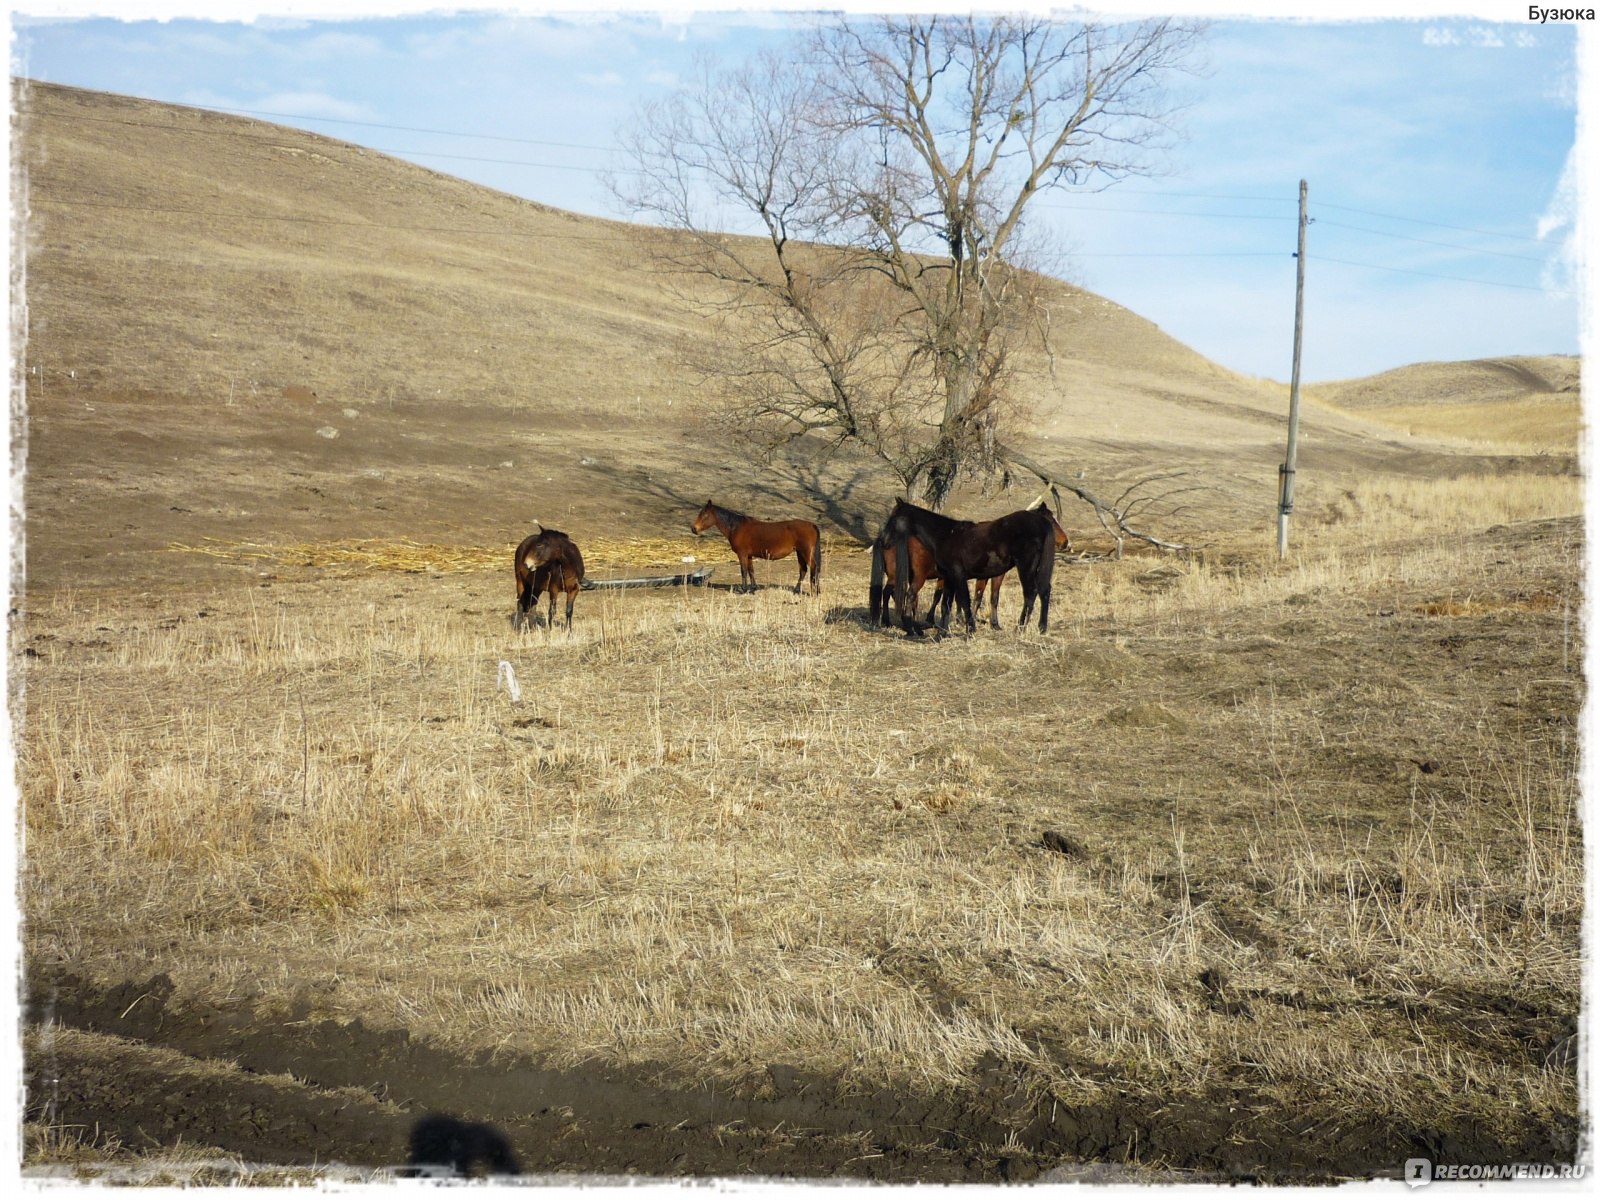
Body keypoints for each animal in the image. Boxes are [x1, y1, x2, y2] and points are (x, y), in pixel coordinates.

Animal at [688, 499, 819, 595]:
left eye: (705, 515)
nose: (694, 529)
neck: (736, 527)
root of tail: (811, 525)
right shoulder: (749, 555)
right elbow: (751, 571)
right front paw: (753, 588)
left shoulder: (742, 554)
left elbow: (744, 571)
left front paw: (744, 589)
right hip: (799, 553)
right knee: (803, 570)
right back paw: (797, 590)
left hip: (806, 552)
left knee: (813, 567)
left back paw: (815, 592)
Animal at [876, 499, 1062, 640]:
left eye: (894, 518)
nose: (883, 540)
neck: (946, 535)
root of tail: (1040, 523)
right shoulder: (949, 578)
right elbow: (946, 605)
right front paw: (942, 633)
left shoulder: (958, 575)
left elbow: (965, 601)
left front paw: (970, 630)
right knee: (1044, 591)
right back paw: (1041, 627)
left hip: (1026, 567)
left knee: (1031, 593)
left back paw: (1020, 628)